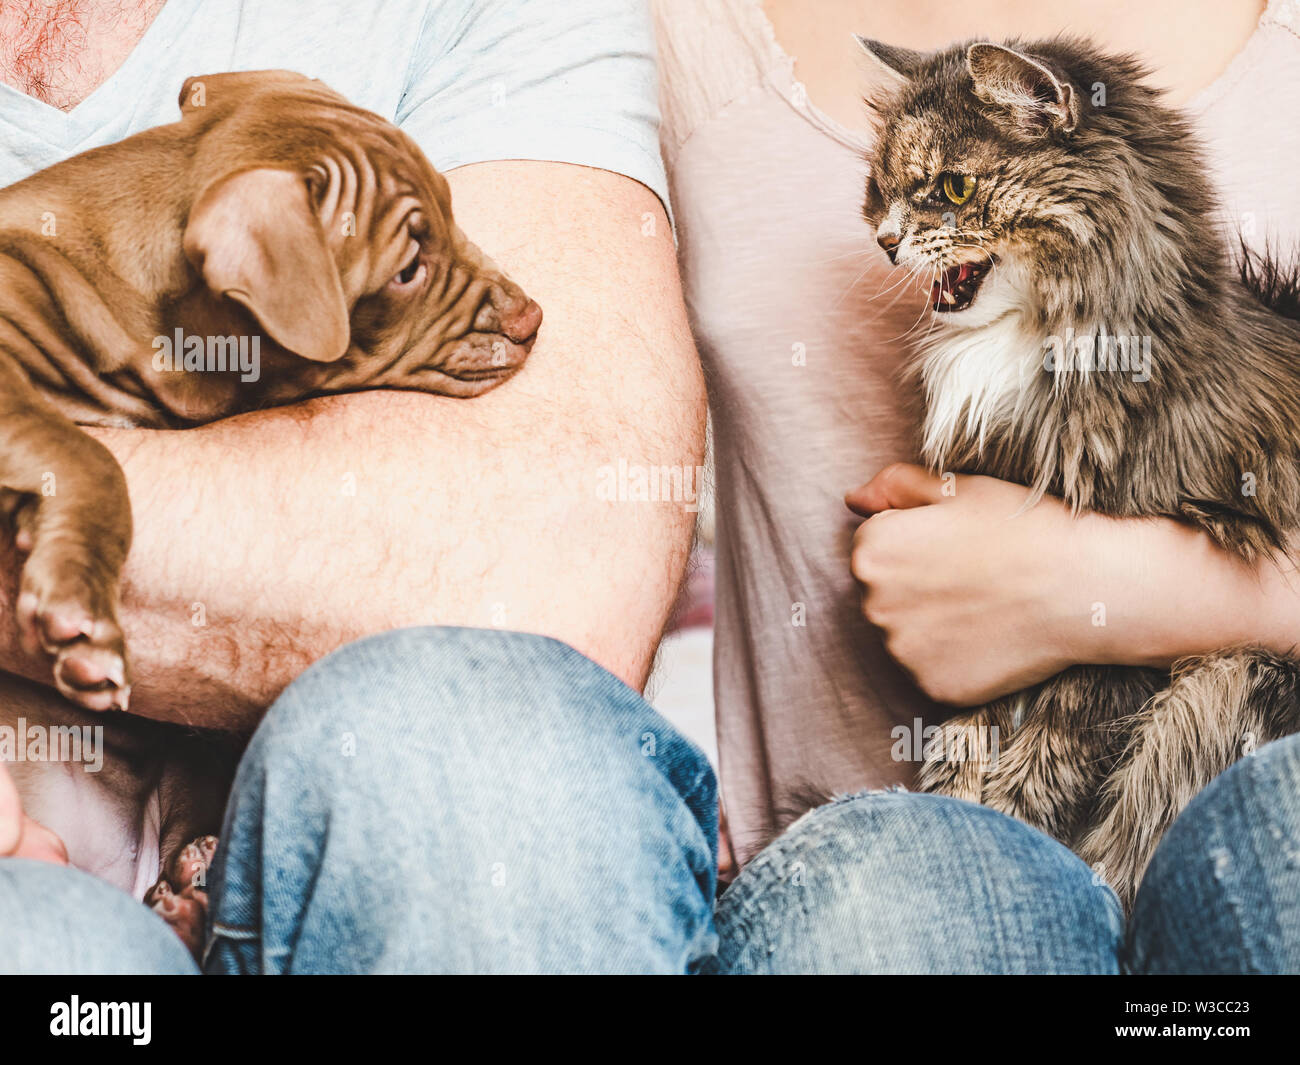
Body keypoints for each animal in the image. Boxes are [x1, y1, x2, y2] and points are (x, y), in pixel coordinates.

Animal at [857, 35, 1300, 910]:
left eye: (953, 188)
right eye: (878, 191)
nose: (887, 240)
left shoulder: (1112, 627)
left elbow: (1052, 750)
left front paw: (1011, 822)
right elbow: (969, 725)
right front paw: (958, 799)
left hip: (1230, 675)